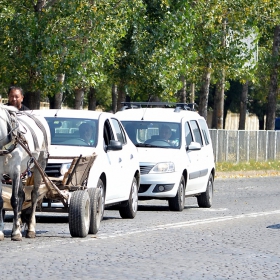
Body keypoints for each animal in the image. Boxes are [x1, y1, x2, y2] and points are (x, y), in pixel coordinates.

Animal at [0, 105, 49, 241]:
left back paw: (31, 229)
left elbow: (14, 200)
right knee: (22, 194)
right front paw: (1, 232)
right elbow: (2, 201)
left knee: (34, 194)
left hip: (40, 164)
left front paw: (16, 233)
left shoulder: (15, 171)